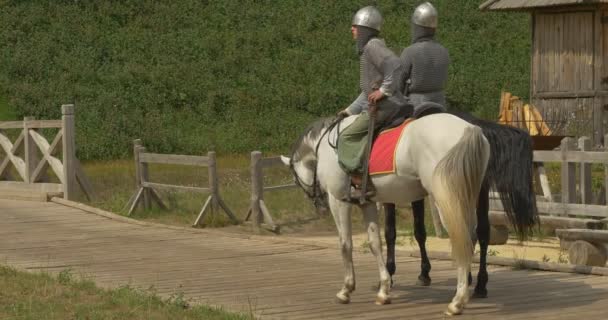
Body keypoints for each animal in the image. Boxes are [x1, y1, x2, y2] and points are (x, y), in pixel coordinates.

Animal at [280, 112, 490, 316]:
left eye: (296, 179)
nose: (320, 206)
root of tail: (469, 129)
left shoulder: (338, 201)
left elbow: (345, 244)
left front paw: (346, 289)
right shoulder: (368, 204)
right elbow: (375, 244)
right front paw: (383, 290)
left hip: (446, 200)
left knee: (462, 240)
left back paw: (457, 301)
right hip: (468, 198)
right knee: (471, 239)